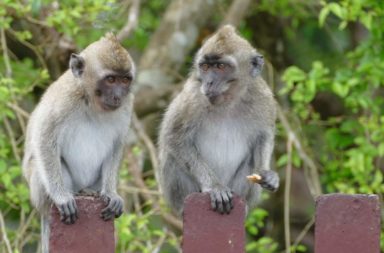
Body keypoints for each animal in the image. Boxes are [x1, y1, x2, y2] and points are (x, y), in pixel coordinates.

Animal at [21, 33, 135, 253]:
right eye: (111, 79)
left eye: (125, 80)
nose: (118, 96)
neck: (91, 100)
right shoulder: (63, 99)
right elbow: (44, 137)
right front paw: (60, 196)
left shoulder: (127, 105)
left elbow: (117, 145)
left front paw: (111, 193)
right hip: (37, 191)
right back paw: (62, 197)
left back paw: (89, 192)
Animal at [158, 25, 280, 215]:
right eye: (205, 67)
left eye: (221, 66)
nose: (208, 82)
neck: (228, 100)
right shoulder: (192, 97)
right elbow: (173, 137)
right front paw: (214, 186)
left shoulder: (263, 96)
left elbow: (264, 136)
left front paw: (266, 173)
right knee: (172, 157)